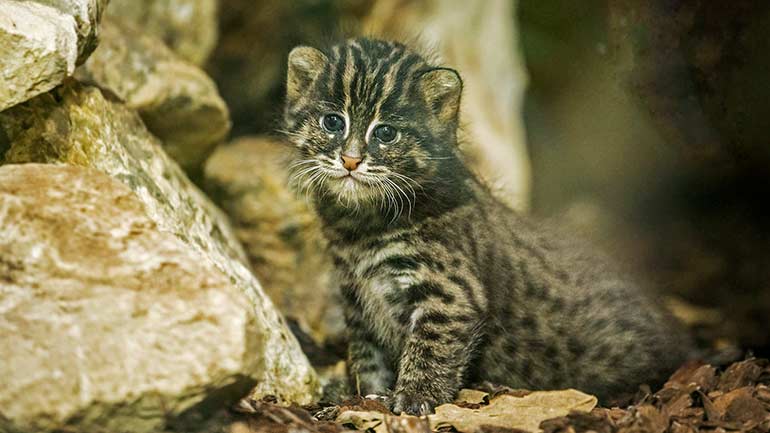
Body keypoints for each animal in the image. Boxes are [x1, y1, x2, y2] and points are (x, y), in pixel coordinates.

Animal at [280, 38, 688, 416]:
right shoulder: (357, 299)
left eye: (386, 133)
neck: (360, 226)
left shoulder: (450, 296)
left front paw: (414, 400)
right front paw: (369, 397)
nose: (350, 160)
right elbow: (368, 355)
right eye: (333, 122)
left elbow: (429, 350)